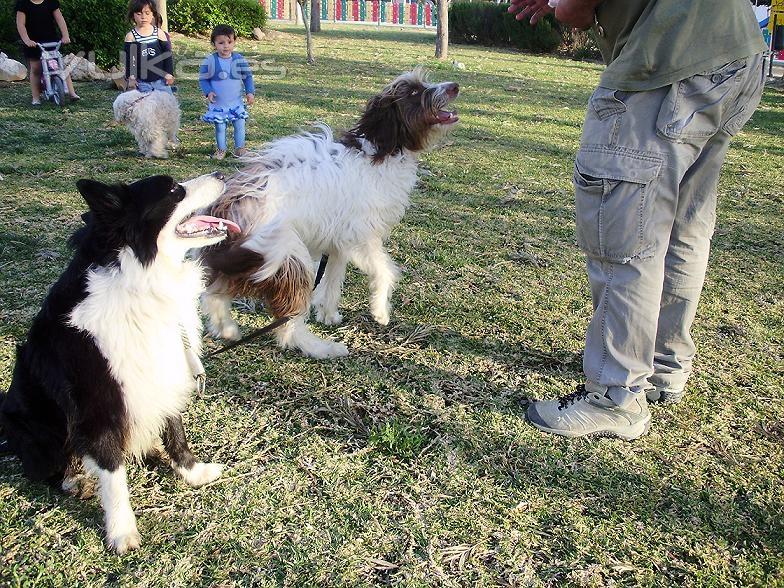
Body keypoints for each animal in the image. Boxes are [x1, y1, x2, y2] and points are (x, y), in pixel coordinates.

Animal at [199, 66, 462, 356]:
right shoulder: (361, 236)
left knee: (214, 295)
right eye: (414, 92)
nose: (454, 86)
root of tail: (227, 208)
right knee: (287, 324)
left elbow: (334, 279)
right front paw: (380, 310)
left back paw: (227, 328)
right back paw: (321, 348)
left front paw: (328, 313)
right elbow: (386, 269)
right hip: (285, 255)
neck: (383, 151)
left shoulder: (337, 242)